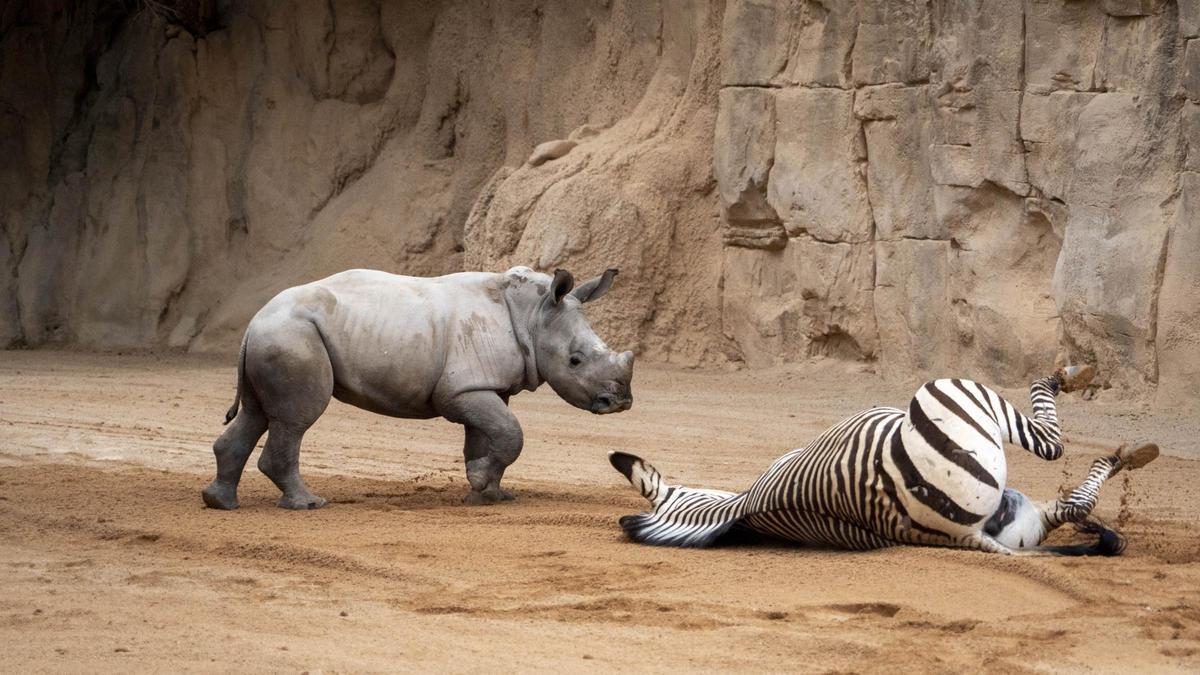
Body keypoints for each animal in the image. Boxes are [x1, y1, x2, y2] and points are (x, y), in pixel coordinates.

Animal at [609, 366, 1159, 556]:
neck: (741, 507)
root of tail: (963, 537)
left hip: (1022, 521)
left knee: (1071, 507)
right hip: (951, 390)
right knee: (1051, 447)